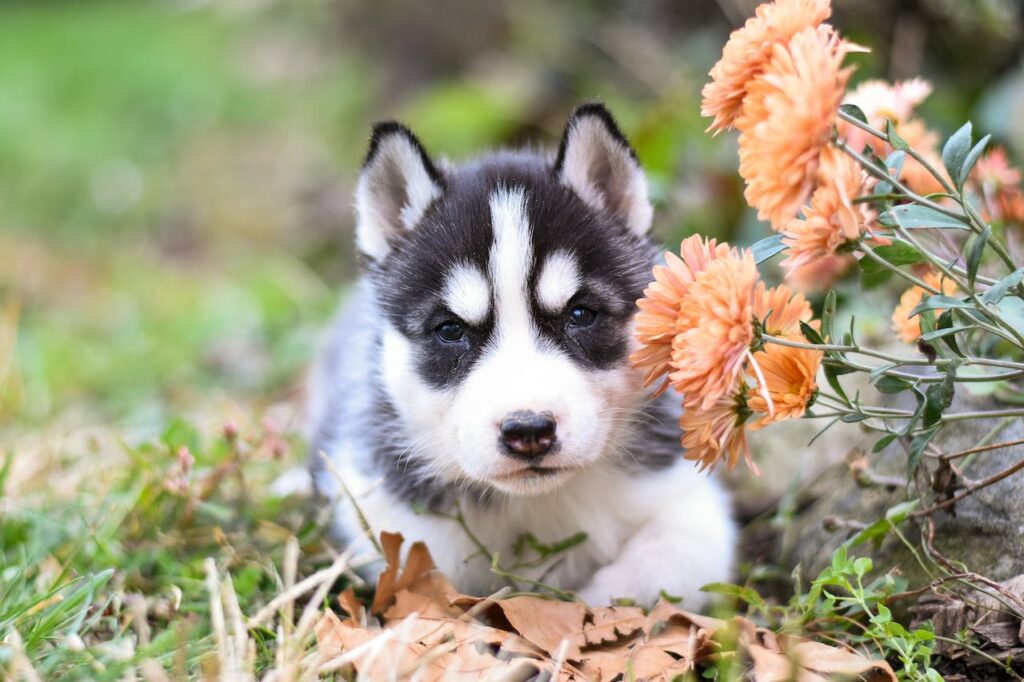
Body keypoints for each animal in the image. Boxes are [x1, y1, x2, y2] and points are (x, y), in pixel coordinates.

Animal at [305, 102, 737, 606]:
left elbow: (675, 560)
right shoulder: (384, 507)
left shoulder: (686, 493)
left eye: (581, 314)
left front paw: (594, 599)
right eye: (450, 330)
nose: (528, 431)